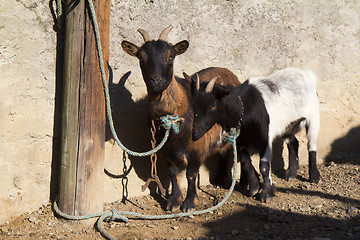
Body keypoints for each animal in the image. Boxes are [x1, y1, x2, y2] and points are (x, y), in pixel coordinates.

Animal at [188, 68, 320, 202]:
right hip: (288, 125)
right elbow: (246, 162)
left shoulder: (265, 139)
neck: (244, 108)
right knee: (293, 143)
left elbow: (264, 166)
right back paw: (291, 173)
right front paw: (254, 186)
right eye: (194, 106)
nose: (195, 133)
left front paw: (266, 193)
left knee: (312, 144)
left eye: (212, 106)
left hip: (313, 115)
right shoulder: (240, 140)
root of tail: (306, 73)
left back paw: (314, 176)